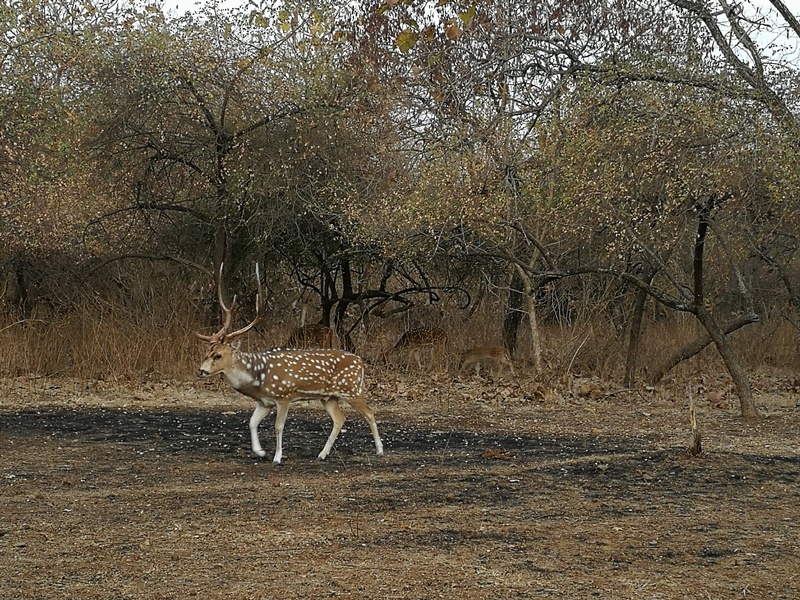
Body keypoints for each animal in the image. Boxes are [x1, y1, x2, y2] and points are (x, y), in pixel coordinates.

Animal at [194, 264, 382, 466]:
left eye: (218, 355)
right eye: (207, 352)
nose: (201, 371)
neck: (257, 378)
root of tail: (360, 362)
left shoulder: (284, 396)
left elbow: (278, 426)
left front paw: (277, 457)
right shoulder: (264, 402)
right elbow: (251, 422)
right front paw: (261, 452)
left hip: (352, 389)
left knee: (370, 413)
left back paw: (379, 450)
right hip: (329, 397)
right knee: (340, 419)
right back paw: (322, 454)